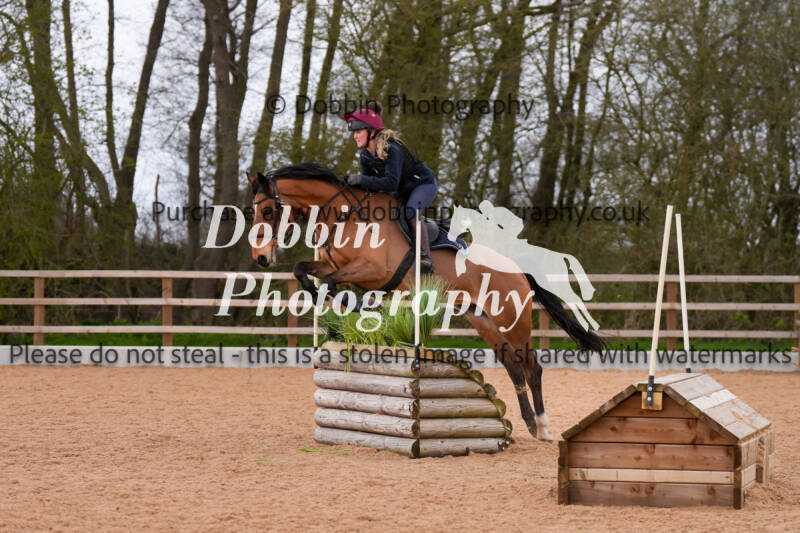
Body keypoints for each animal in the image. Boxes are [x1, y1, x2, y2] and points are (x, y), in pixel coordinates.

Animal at [248, 163, 605, 441]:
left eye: (268, 210)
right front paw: (327, 298)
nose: (262, 257)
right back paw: (529, 424)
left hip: (512, 320)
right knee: (514, 367)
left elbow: (333, 283)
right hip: (483, 320)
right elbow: (304, 270)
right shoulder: (333, 265)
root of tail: (515, 268)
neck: (345, 216)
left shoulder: (373, 271)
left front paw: (355, 305)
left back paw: (543, 427)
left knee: (532, 368)